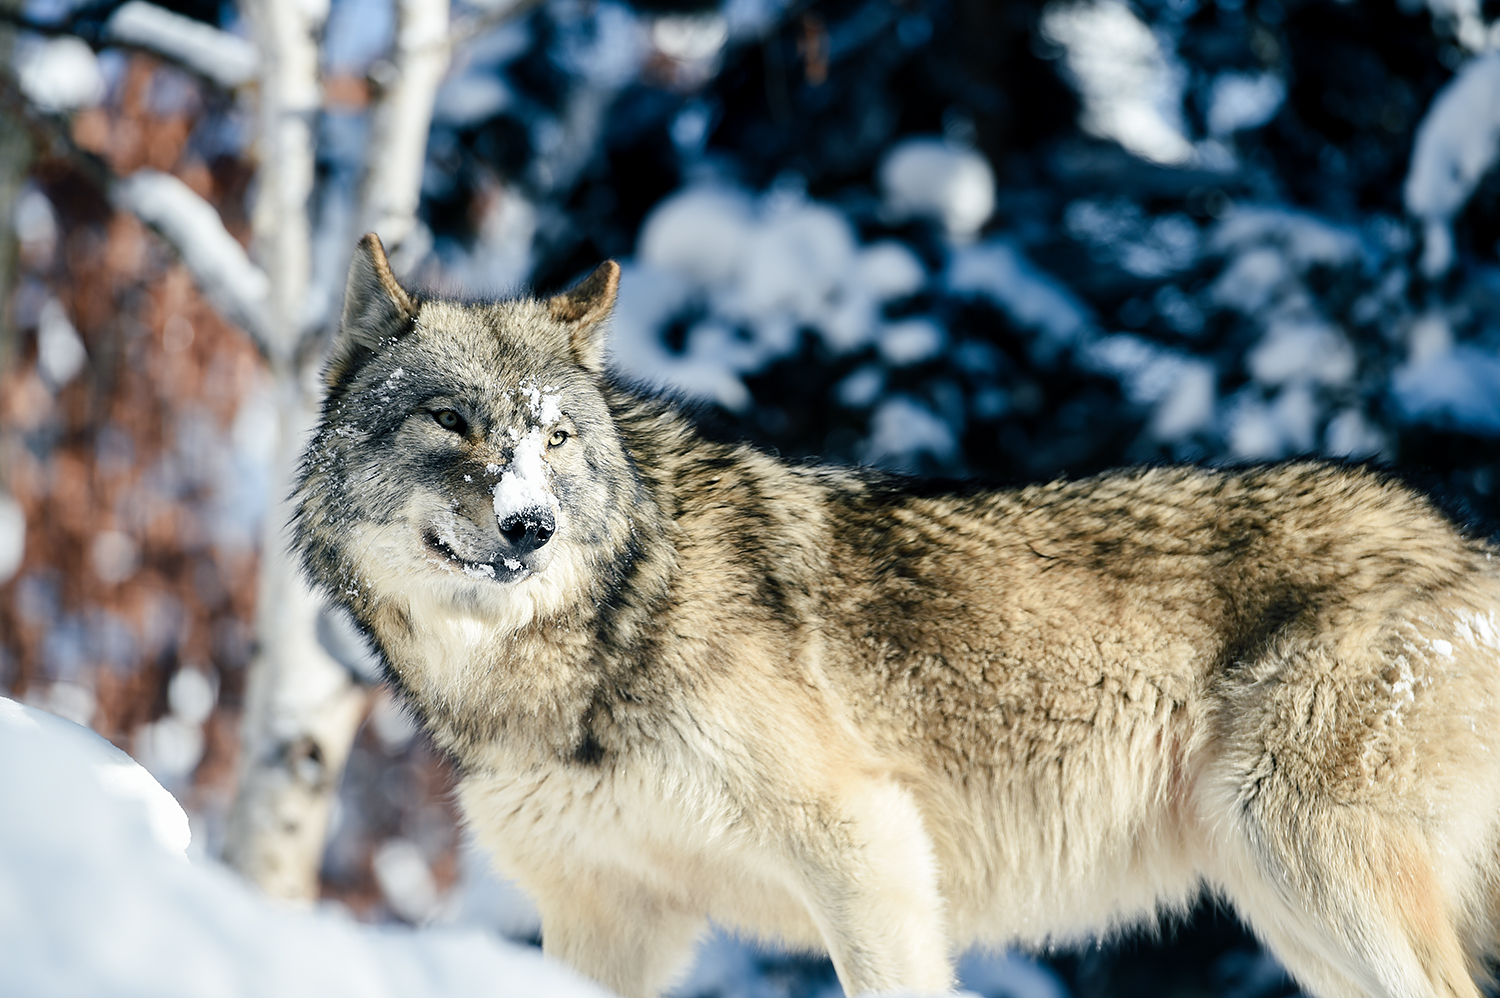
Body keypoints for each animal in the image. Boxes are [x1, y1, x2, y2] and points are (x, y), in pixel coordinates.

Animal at [295, 229, 1500, 990]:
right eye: (451, 420)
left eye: (553, 437)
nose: (530, 526)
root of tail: (1467, 545)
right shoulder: (602, 915)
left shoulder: (866, 846)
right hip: (1289, 912)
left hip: (1308, 864)